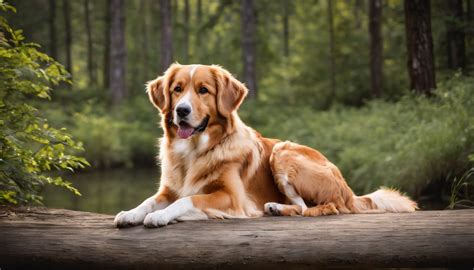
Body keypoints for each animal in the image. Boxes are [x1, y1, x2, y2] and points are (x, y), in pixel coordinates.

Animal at [113, 65, 416, 228]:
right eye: (177, 89)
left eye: (203, 90)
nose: (181, 111)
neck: (195, 152)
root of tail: (348, 188)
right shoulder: (168, 189)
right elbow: (149, 200)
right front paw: (130, 213)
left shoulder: (231, 197)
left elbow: (189, 199)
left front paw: (161, 216)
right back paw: (274, 208)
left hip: (284, 152)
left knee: (317, 207)